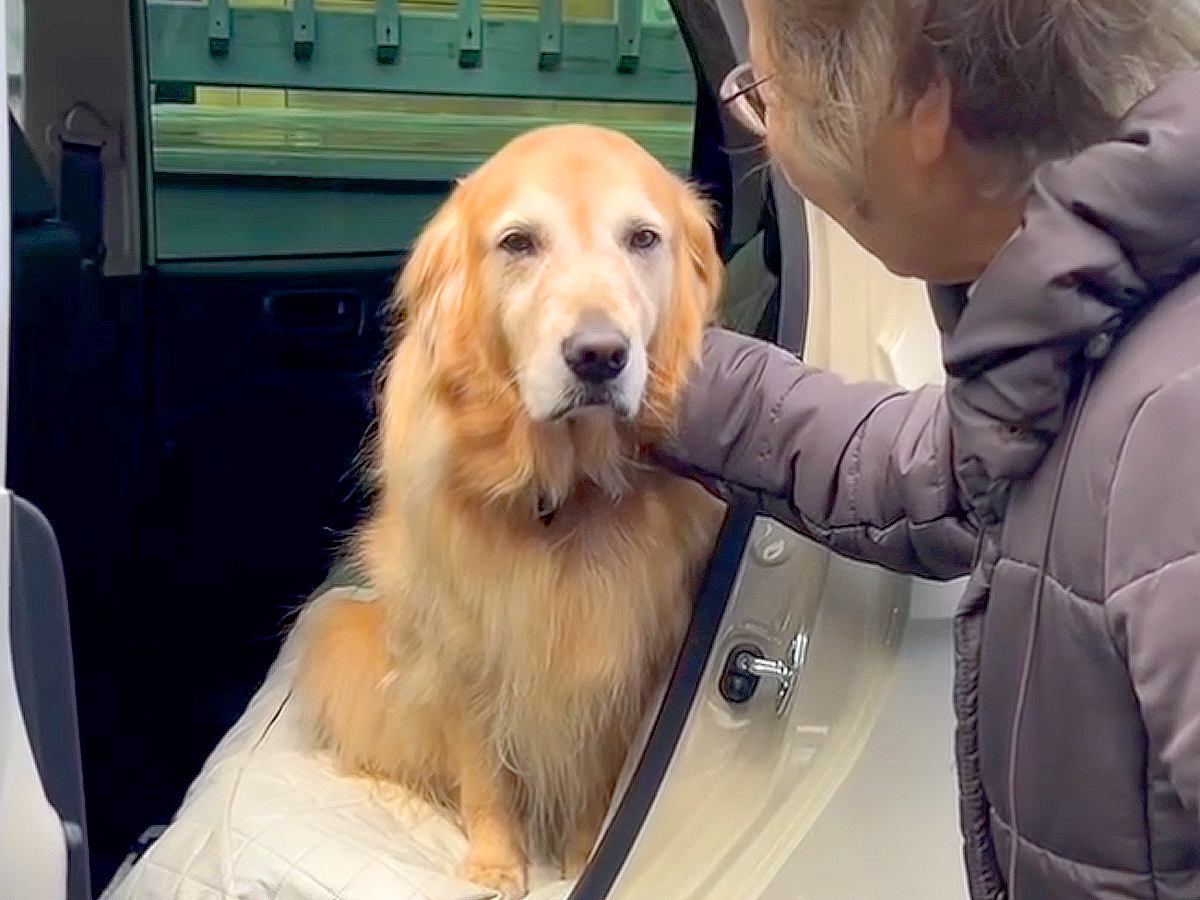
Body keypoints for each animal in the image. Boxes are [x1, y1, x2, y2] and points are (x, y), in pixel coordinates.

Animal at [292, 123, 720, 897]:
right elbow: (486, 775)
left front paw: (581, 859)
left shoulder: (618, 665)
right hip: (349, 637)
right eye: (519, 243)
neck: (563, 493)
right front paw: (496, 863)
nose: (599, 356)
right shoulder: (466, 651)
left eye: (643, 238)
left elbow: (595, 782)